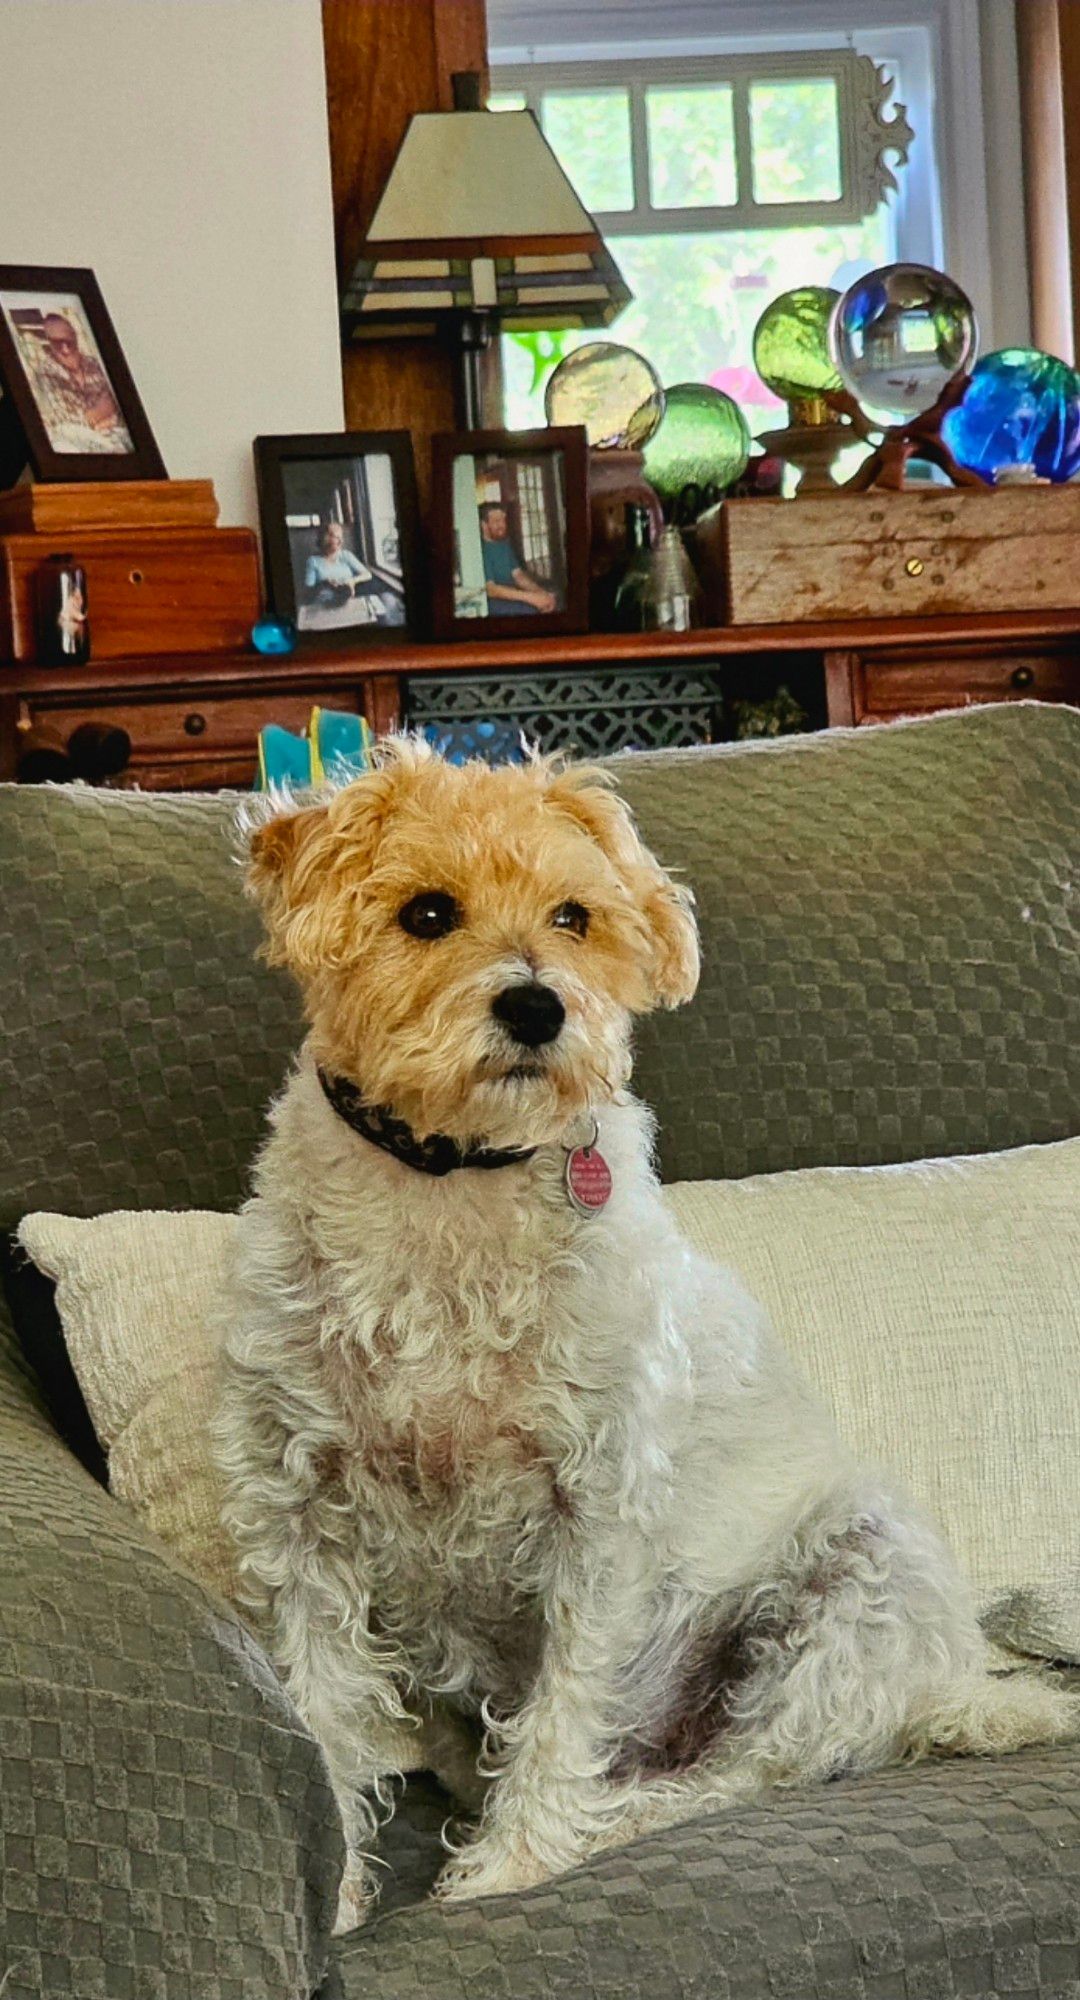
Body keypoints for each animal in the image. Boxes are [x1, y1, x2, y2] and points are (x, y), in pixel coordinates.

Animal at [213, 744, 1080, 1928]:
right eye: (427, 911)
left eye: (573, 915)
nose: (539, 1007)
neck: (450, 1189)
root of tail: (948, 1685)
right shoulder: (299, 1511)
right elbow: (328, 1713)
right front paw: (337, 1892)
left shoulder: (598, 1509)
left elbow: (563, 1707)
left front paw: (512, 1866)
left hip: (850, 1588)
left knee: (741, 1775)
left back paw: (610, 1820)